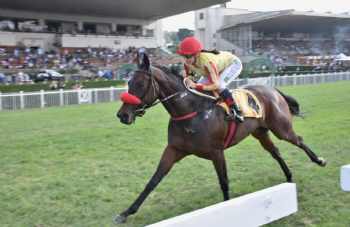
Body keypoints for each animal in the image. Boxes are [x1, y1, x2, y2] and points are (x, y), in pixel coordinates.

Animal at [113, 53, 326, 223]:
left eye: (141, 83)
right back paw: (288, 178)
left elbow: (224, 182)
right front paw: (125, 212)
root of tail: (272, 90)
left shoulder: (216, 151)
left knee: (299, 140)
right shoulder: (173, 150)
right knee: (277, 153)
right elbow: (153, 181)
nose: (122, 115)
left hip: (282, 129)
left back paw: (319, 160)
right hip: (261, 132)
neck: (190, 111)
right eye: (128, 83)